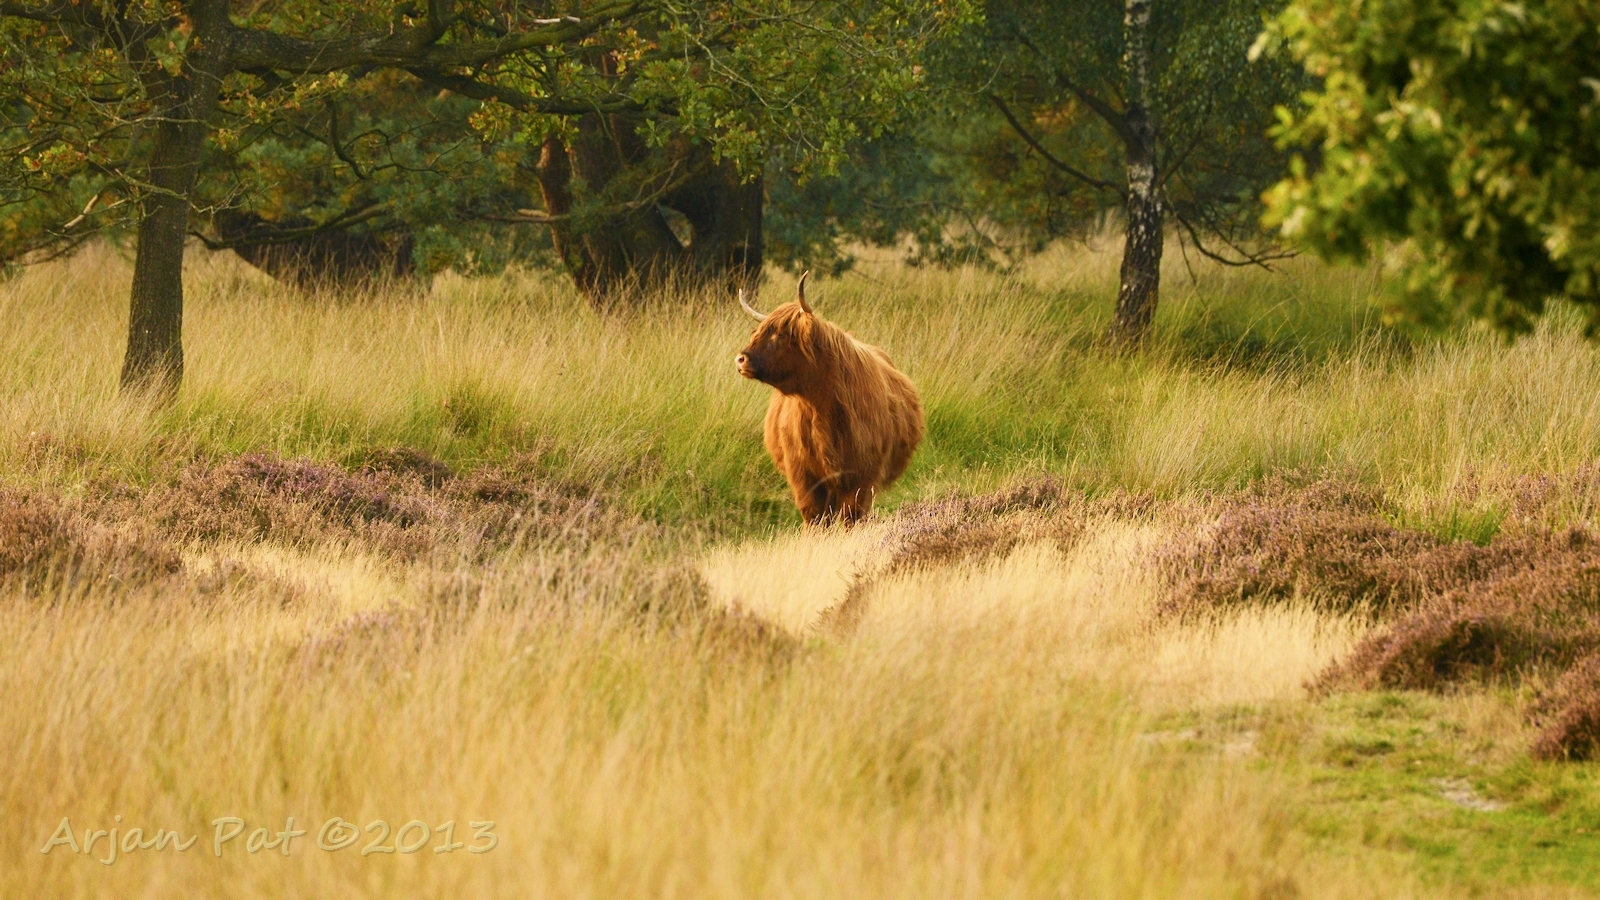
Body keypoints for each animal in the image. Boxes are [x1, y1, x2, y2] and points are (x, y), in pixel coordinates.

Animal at [735, 272, 924, 526]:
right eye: (757, 332)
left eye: (780, 335)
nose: (740, 359)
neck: (821, 409)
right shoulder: (803, 473)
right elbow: (814, 514)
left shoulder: (863, 474)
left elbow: (851, 515)